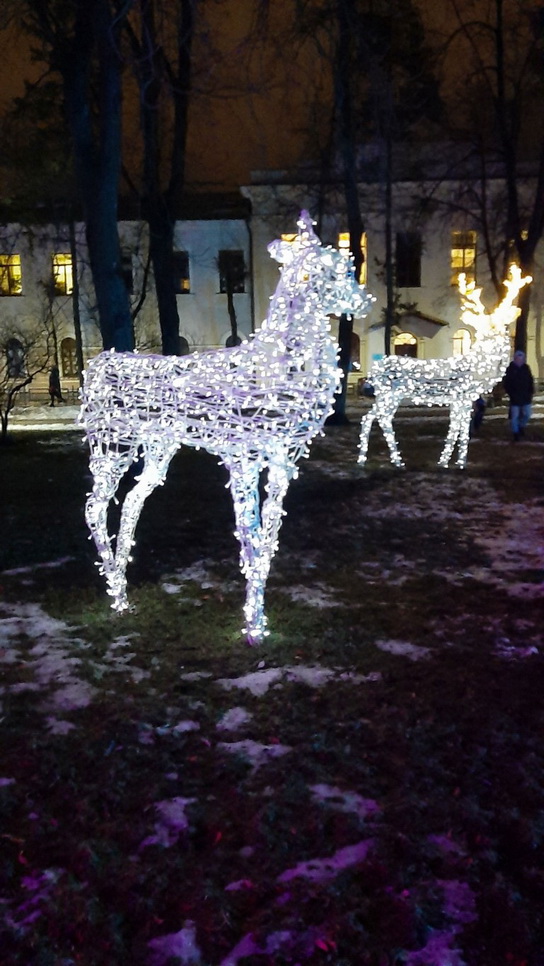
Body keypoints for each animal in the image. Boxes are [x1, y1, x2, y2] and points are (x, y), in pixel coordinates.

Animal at [79, 211, 372, 643]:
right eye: (325, 270)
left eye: (348, 267)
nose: (363, 301)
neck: (276, 365)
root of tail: (98, 363)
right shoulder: (242, 457)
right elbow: (248, 536)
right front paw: (251, 626)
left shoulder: (283, 461)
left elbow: (269, 539)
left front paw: (258, 623)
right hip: (112, 443)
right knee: (94, 506)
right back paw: (114, 589)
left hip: (158, 448)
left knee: (131, 501)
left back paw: (121, 593)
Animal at [357, 266, 530, 470]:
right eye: (486, 329)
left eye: (501, 327)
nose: (495, 339)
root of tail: (373, 372)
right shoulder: (462, 398)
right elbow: (458, 429)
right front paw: (452, 462)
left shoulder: (461, 400)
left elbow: (459, 429)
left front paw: (452, 462)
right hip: (390, 394)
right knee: (381, 418)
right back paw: (396, 461)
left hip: (385, 396)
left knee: (370, 417)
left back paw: (366, 460)